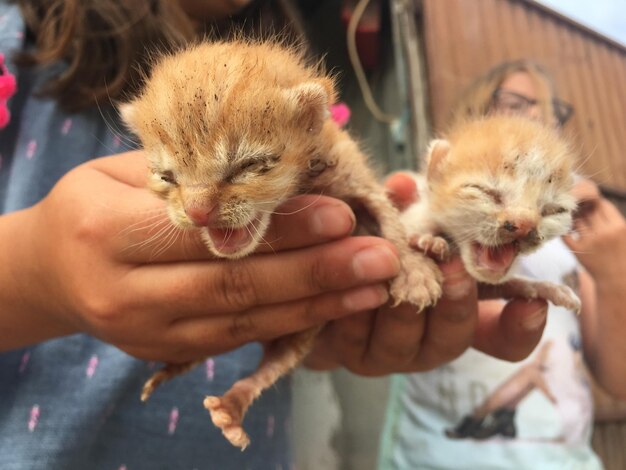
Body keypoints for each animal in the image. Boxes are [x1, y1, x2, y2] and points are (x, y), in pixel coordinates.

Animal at [119, 38, 442, 450]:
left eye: (246, 167)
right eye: (166, 177)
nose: (197, 212)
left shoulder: (353, 172)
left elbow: (388, 219)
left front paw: (414, 270)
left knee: (277, 359)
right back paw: (186, 376)